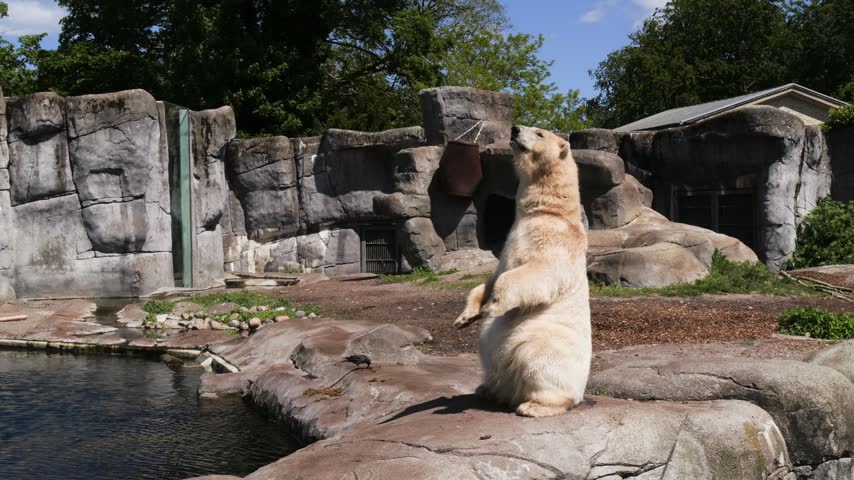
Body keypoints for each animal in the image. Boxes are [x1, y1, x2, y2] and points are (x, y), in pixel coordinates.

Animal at [453, 125, 591, 418]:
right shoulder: (510, 241)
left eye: (539, 133)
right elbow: (492, 277)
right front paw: (465, 317)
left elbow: (535, 272)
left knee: (537, 361)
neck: (550, 212)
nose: (515, 129)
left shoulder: (555, 241)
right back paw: (487, 389)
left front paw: (493, 305)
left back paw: (533, 405)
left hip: (543, 342)